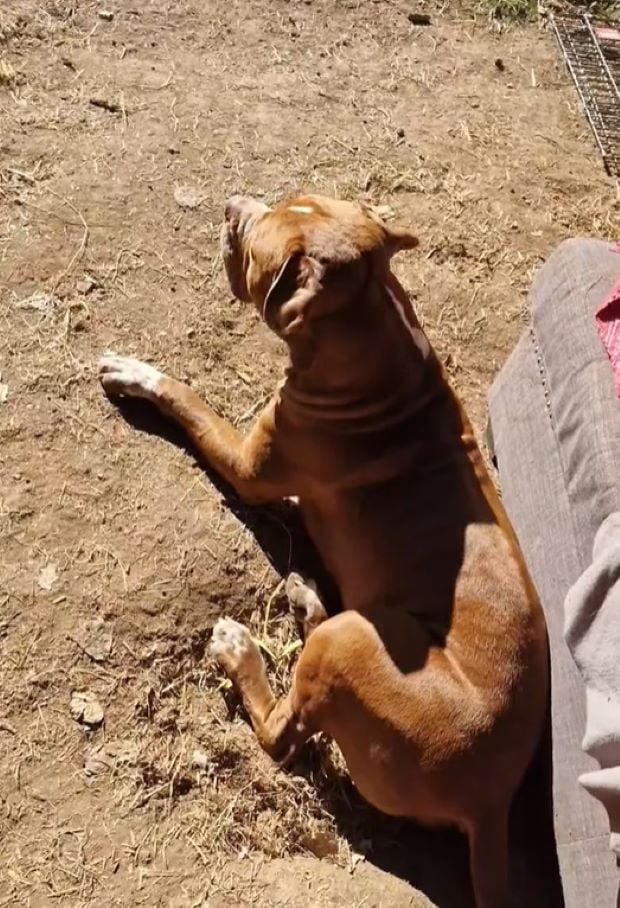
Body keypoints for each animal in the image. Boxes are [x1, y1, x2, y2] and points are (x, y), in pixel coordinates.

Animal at [99, 195, 548, 904]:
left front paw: (136, 373)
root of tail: (489, 803)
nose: (232, 202)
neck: (375, 332)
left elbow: (187, 397)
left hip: (354, 645)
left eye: (257, 236)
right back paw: (306, 597)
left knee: (281, 736)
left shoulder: (248, 465)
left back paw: (242, 651)